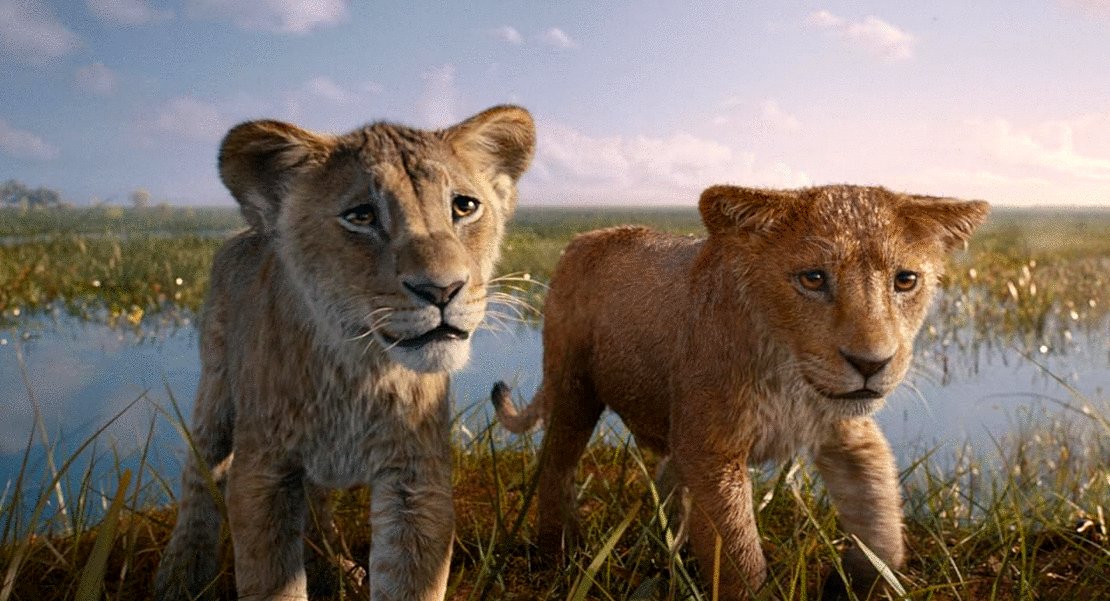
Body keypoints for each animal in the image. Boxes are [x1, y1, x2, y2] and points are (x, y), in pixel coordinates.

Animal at [153, 105, 535, 601]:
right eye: (362, 215)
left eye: (464, 206)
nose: (442, 290)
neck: (359, 369)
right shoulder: (263, 475)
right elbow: (270, 580)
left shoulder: (416, 480)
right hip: (215, 387)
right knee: (200, 474)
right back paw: (179, 575)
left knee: (316, 500)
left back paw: (335, 566)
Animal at [493, 184, 988, 599]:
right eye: (813, 279)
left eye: (905, 280)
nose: (871, 364)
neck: (790, 377)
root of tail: (584, 237)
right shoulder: (713, 449)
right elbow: (740, 556)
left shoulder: (848, 436)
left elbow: (882, 522)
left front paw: (860, 581)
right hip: (573, 385)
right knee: (557, 465)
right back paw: (559, 553)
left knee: (668, 479)